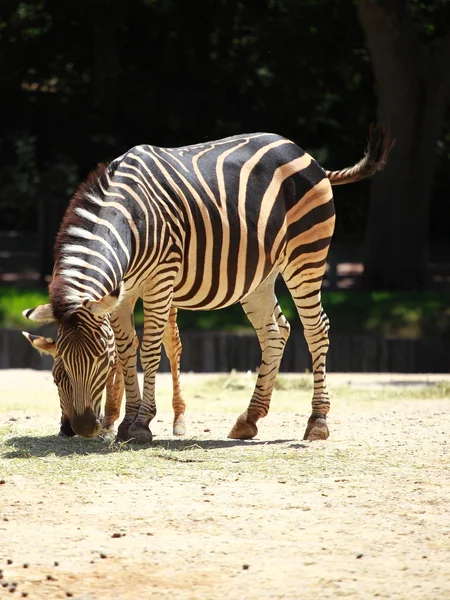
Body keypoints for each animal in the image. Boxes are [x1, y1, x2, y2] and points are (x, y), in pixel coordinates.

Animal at [24, 126, 390, 442]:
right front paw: (127, 422)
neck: (129, 221)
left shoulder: (160, 283)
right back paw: (250, 418)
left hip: (306, 255)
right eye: (57, 375)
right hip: (259, 275)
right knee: (275, 332)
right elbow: (128, 350)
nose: (81, 428)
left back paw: (317, 421)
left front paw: (141, 423)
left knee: (316, 329)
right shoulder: (122, 295)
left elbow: (149, 348)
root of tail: (306, 155)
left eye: (101, 361)